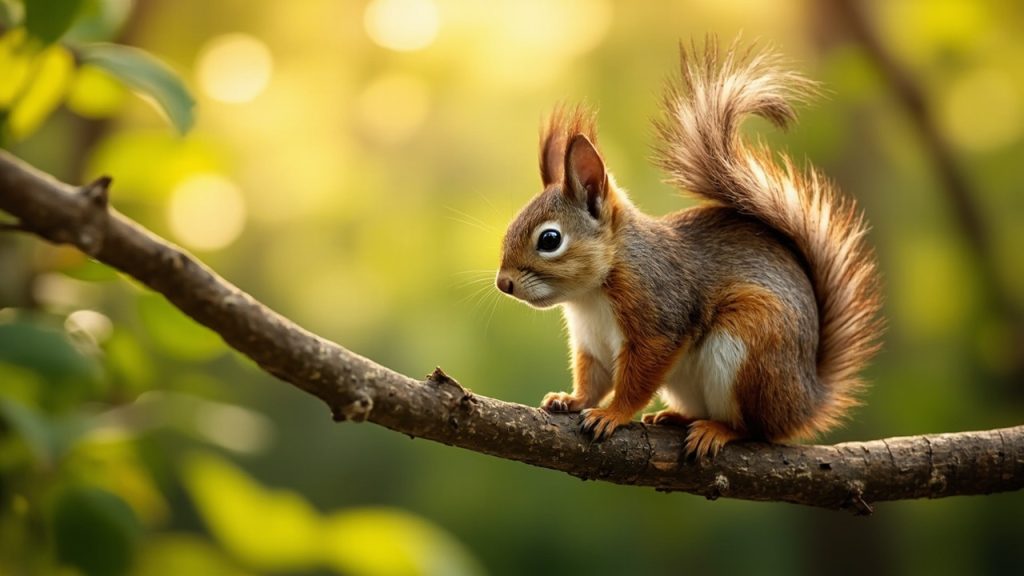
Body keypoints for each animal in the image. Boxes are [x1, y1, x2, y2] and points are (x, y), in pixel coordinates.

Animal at [494, 39, 883, 459]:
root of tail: (805, 401)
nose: (503, 283)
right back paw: (675, 417)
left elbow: (638, 379)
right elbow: (593, 379)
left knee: (754, 429)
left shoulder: (659, 318)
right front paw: (571, 399)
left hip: (751, 346)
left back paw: (717, 430)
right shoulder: (591, 344)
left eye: (549, 240)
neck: (591, 294)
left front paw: (612, 414)